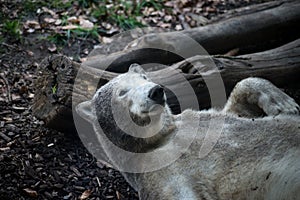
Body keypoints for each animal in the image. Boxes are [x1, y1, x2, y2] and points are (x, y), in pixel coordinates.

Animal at [76, 64, 298, 200]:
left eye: (144, 77)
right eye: (122, 92)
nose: (156, 91)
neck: (160, 137)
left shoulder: (203, 119)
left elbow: (238, 104)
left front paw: (283, 103)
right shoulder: (158, 173)